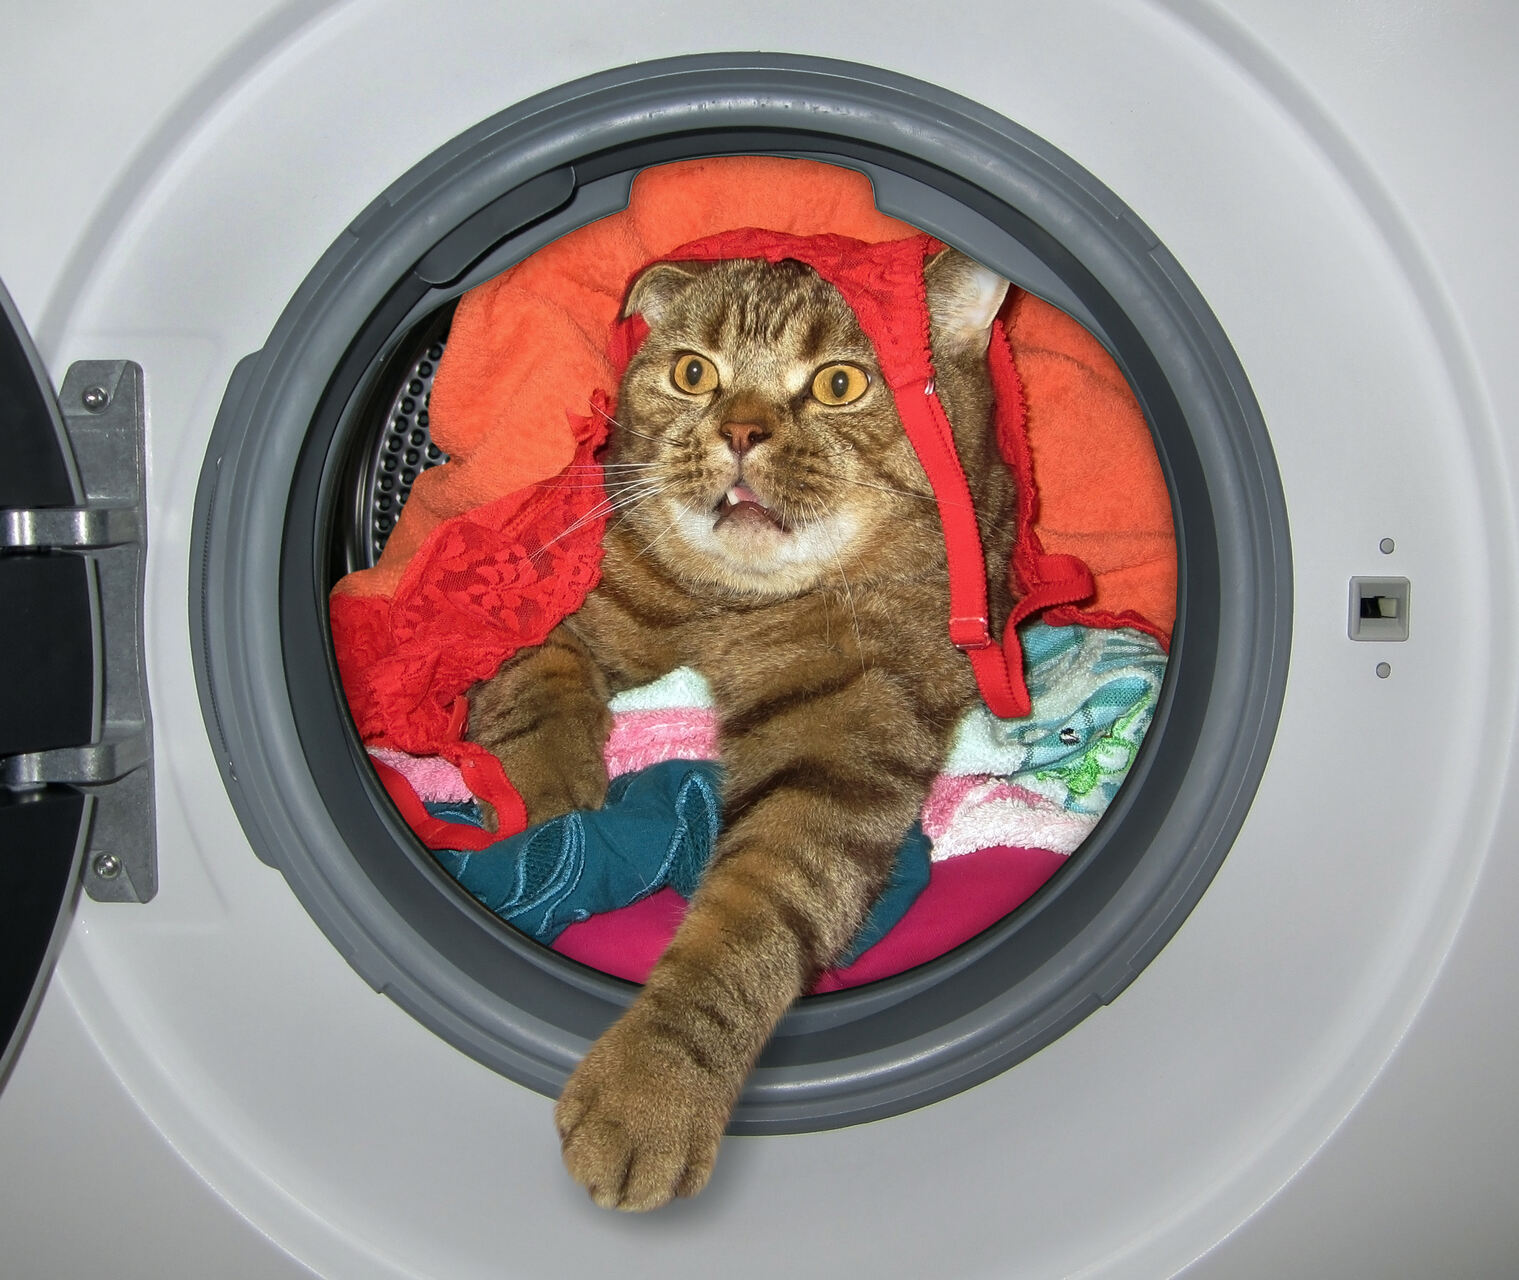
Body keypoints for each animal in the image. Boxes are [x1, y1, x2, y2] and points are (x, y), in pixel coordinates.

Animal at [461, 242, 1008, 1208]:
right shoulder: (559, 602)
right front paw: (553, 803)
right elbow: (537, 681)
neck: (733, 608)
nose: (742, 432)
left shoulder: (835, 755)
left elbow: (743, 929)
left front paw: (648, 1092)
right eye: (693, 373)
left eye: (837, 383)